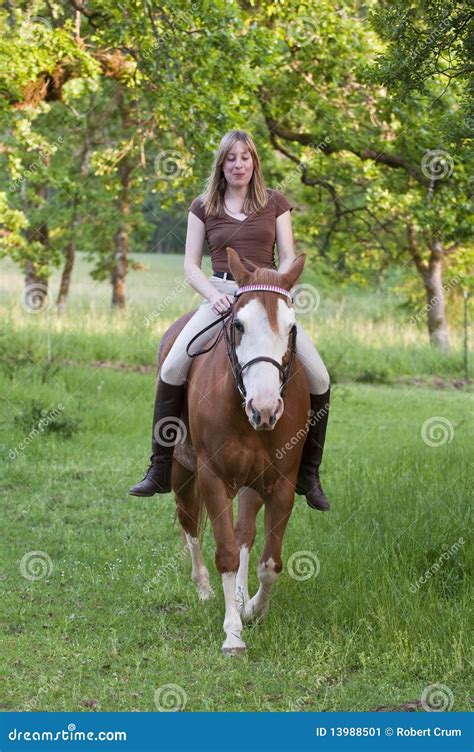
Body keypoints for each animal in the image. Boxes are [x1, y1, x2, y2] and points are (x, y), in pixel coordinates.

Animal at [158, 247, 310, 654]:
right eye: (238, 325)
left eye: (292, 328)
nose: (265, 409)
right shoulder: (213, 478)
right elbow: (224, 552)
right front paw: (232, 634)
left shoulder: (281, 484)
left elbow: (269, 561)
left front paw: (252, 609)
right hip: (182, 473)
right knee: (190, 524)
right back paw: (204, 588)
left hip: (251, 483)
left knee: (244, 534)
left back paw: (240, 598)